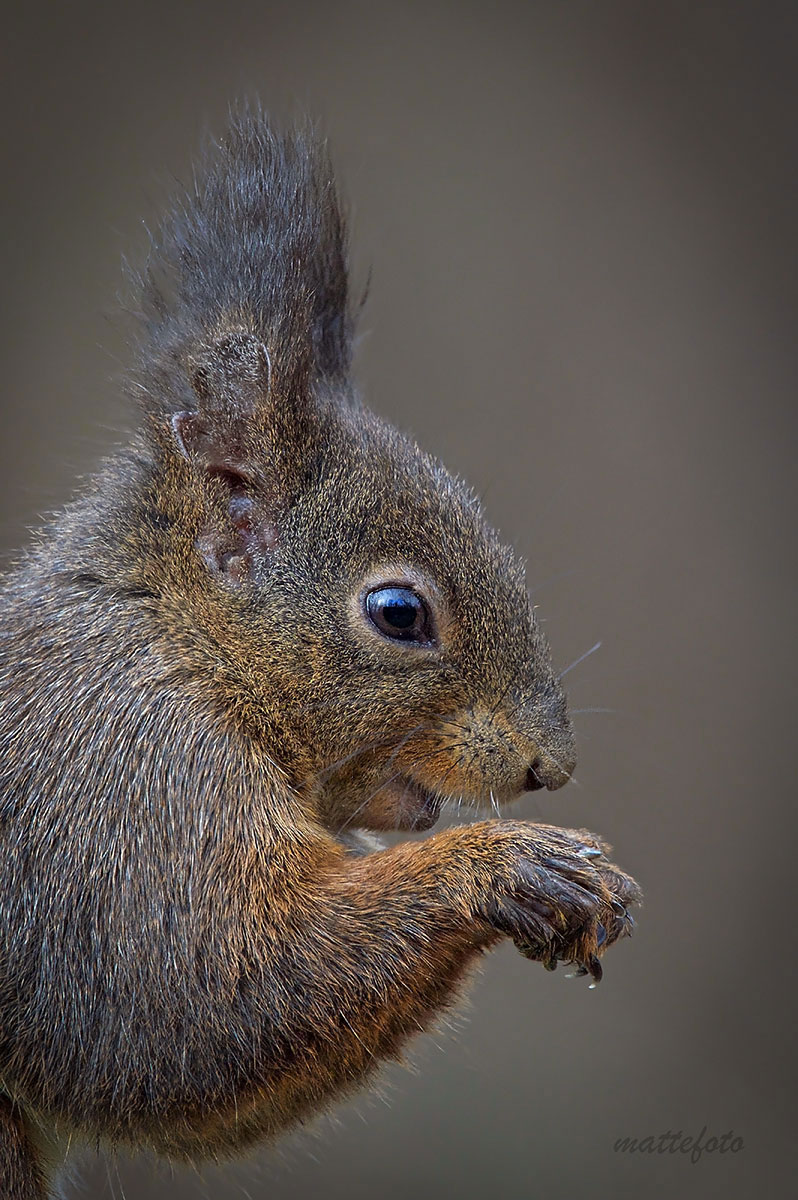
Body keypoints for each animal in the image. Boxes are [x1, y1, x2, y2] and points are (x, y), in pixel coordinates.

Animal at [0, 108, 641, 1199]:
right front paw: (516, 865)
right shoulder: (117, 783)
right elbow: (187, 1009)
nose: (548, 766)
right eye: (398, 613)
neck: (178, 640)